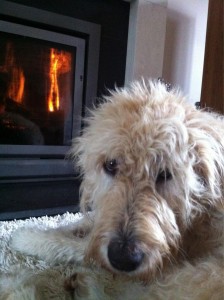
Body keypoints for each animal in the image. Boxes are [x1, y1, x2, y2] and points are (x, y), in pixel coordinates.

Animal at [9, 81, 224, 298]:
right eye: (111, 164)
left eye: (165, 174)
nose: (123, 258)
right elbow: (88, 224)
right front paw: (64, 227)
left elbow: (79, 247)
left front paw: (27, 237)